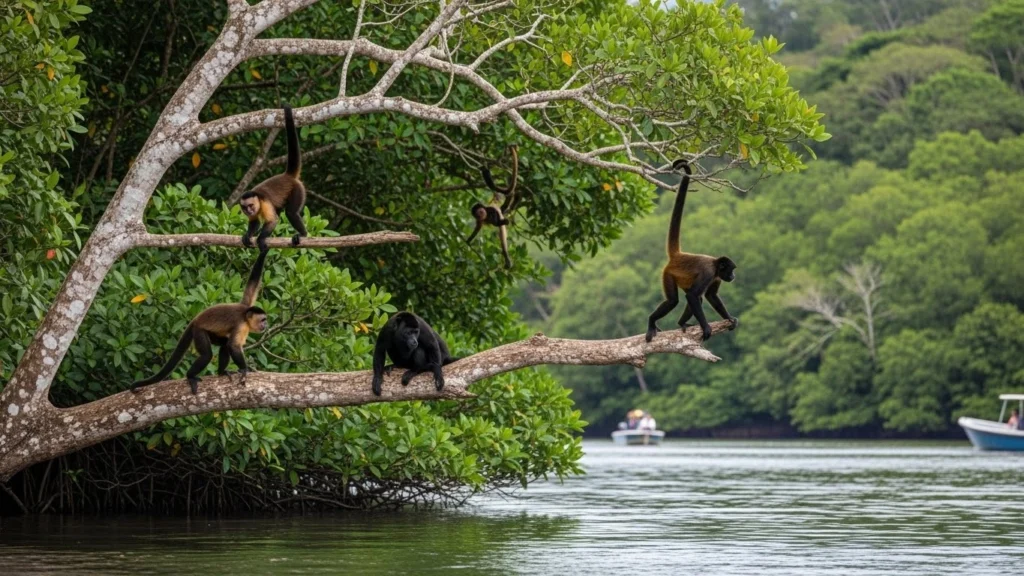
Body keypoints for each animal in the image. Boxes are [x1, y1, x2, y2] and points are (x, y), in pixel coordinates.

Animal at [130, 248, 271, 395]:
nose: (266, 325)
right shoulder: (241, 324)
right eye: (263, 319)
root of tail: (195, 319)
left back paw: (221, 372)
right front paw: (244, 369)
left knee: (223, 344)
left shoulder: (247, 305)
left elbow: (253, 282)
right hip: (198, 331)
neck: (245, 316)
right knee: (208, 354)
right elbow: (233, 346)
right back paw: (190, 376)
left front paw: (263, 249)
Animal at [240, 105, 307, 251]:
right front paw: (248, 234)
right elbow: (255, 222)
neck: (258, 202)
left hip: (298, 189)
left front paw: (260, 239)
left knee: (291, 213)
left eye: (251, 205)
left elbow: (272, 221)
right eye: (245, 207)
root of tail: (287, 175)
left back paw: (303, 235)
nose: (249, 210)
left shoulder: (264, 202)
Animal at [645, 159, 738, 344]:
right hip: (668, 273)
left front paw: (729, 318)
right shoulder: (709, 272)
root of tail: (678, 255)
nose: (733, 276)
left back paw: (681, 322)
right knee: (674, 300)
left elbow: (710, 296)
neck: (715, 264)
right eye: (731, 270)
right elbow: (693, 297)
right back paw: (652, 321)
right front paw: (706, 327)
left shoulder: (716, 276)